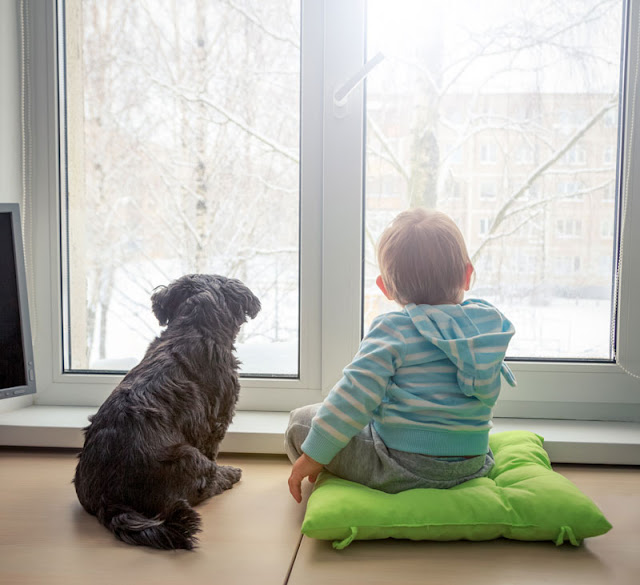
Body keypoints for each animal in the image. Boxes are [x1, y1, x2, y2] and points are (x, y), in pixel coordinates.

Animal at [70, 274, 260, 548]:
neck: (193, 328)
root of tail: (109, 499)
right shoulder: (216, 422)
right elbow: (212, 452)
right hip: (188, 456)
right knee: (205, 482)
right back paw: (229, 474)